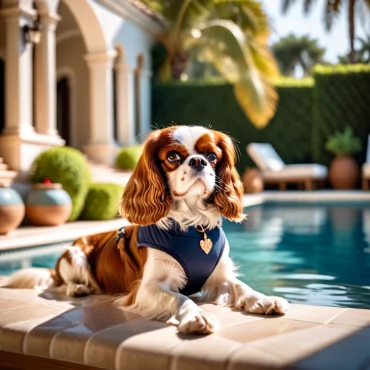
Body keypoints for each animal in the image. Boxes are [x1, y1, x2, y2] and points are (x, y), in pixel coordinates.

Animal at [6, 125, 290, 334]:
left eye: (212, 156)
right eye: (173, 157)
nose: (198, 161)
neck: (192, 226)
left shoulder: (219, 277)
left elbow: (240, 286)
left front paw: (263, 299)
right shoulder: (144, 290)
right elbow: (180, 298)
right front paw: (196, 316)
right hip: (74, 254)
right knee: (63, 282)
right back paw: (77, 288)